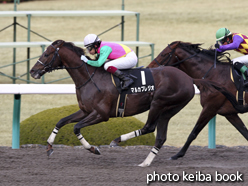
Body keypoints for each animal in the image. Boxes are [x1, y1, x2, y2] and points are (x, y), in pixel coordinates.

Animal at [29, 39, 232, 167]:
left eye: (46, 54)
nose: (33, 71)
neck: (89, 77)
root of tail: (189, 79)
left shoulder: (101, 115)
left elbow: (76, 128)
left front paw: (93, 149)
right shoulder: (85, 111)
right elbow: (61, 121)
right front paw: (49, 147)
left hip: (159, 102)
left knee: (150, 127)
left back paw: (117, 140)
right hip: (169, 109)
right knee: (160, 136)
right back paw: (145, 162)